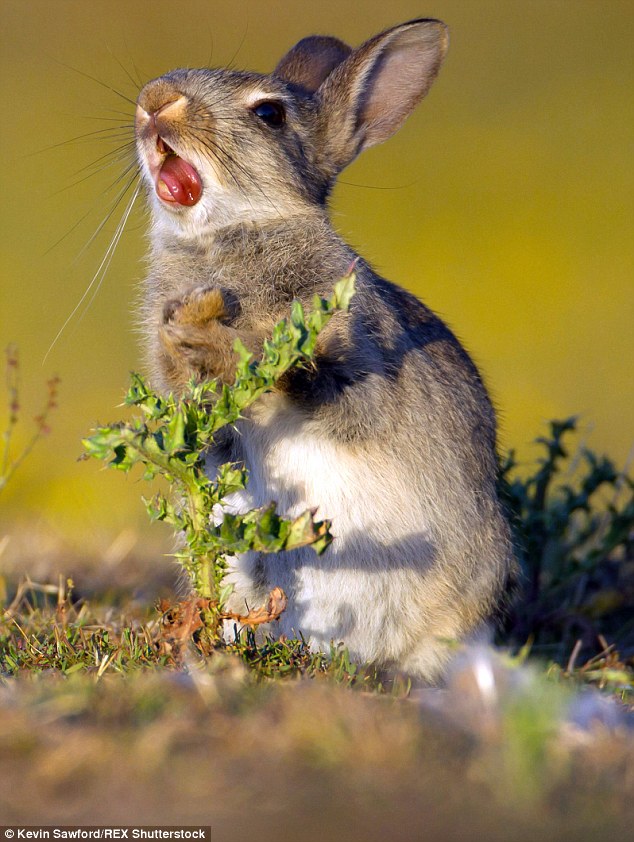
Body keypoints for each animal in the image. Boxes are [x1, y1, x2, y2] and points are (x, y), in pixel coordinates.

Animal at [133, 16, 512, 680]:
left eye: (269, 114)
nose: (155, 100)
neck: (232, 239)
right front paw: (190, 339)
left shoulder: (363, 358)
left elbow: (328, 388)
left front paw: (225, 342)